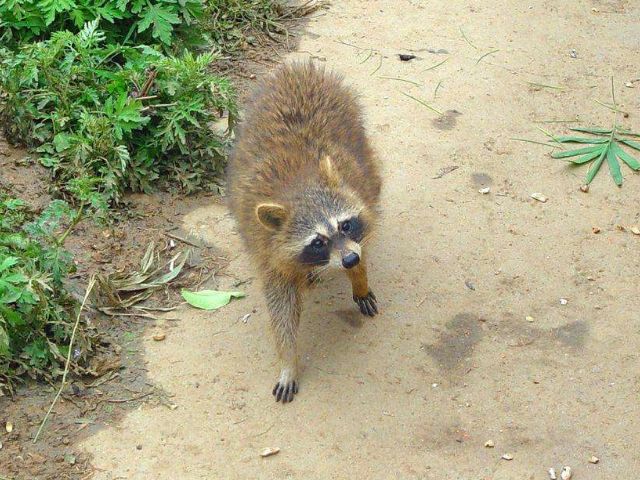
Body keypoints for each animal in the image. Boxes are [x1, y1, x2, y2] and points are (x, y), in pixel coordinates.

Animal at [228, 62, 382, 404]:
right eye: (317, 242)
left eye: (345, 225)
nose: (349, 261)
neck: (300, 190)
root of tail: (296, 69)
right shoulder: (266, 248)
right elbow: (281, 307)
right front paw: (288, 359)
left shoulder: (361, 196)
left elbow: (364, 240)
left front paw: (360, 278)